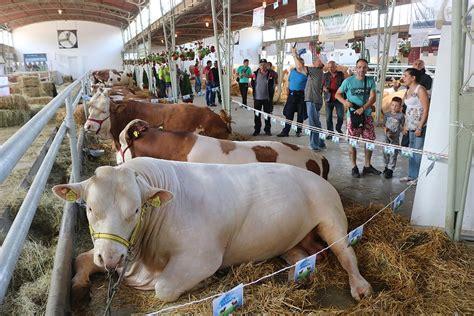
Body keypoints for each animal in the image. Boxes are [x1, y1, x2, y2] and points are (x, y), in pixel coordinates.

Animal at [52, 158, 374, 304]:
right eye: (90, 209)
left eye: (135, 210)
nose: (110, 258)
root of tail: (319, 176)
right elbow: (81, 258)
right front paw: (78, 286)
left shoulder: (203, 257)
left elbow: (162, 288)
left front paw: (201, 283)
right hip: (290, 237)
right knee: (302, 254)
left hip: (331, 217)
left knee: (347, 254)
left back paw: (360, 287)